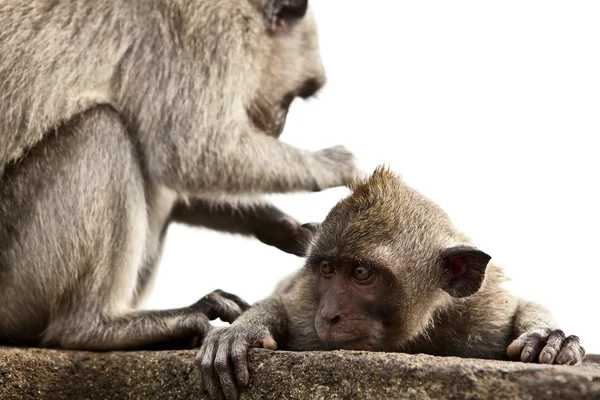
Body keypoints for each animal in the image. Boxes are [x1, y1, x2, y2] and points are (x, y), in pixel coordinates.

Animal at [0, 0, 358, 350]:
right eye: (296, 94)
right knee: (103, 129)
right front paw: (333, 166)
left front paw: (279, 225)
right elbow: (189, 152)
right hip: (17, 280)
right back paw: (92, 325)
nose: (278, 126)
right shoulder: (207, 31)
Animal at [198, 166, 584, 400]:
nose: (329, 315)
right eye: (327, 269)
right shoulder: (308, 310)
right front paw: (241, 330)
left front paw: (549, 337)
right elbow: (284, 303)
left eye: (361, 273)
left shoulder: (482, 317)